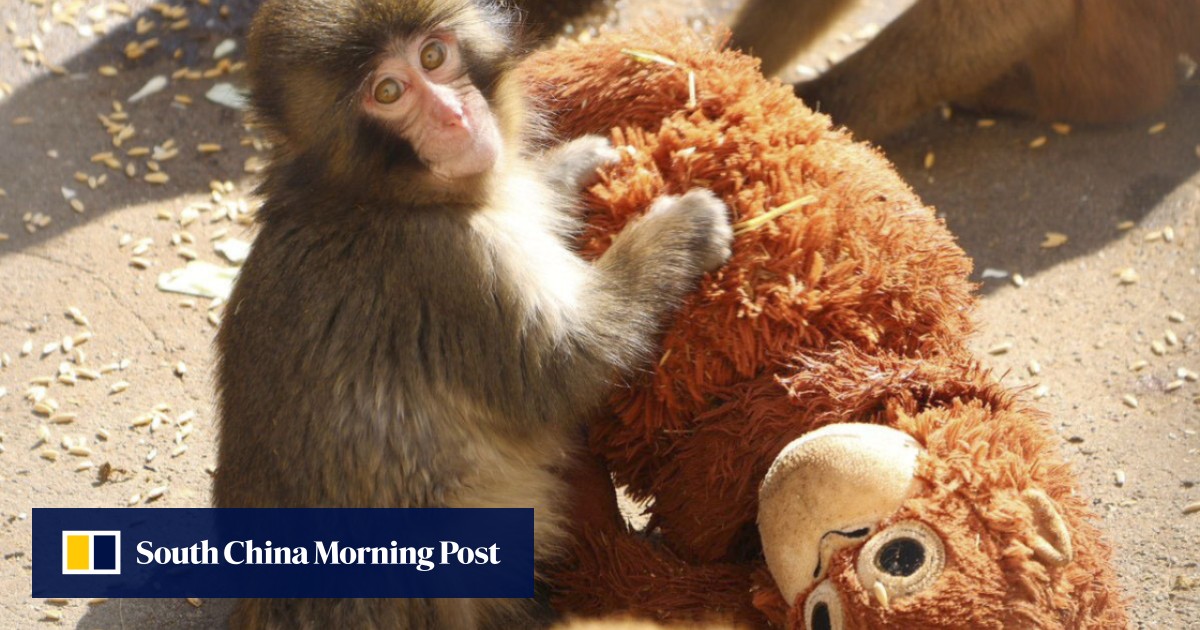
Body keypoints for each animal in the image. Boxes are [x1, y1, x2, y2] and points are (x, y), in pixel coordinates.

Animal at [212, 0, 733, 628]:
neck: (372, 197)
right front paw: (681, 229)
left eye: (434, 56)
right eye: (388, 91)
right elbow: (563, 368)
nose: (455, 116)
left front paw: (570, 165)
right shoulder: (448, 265)